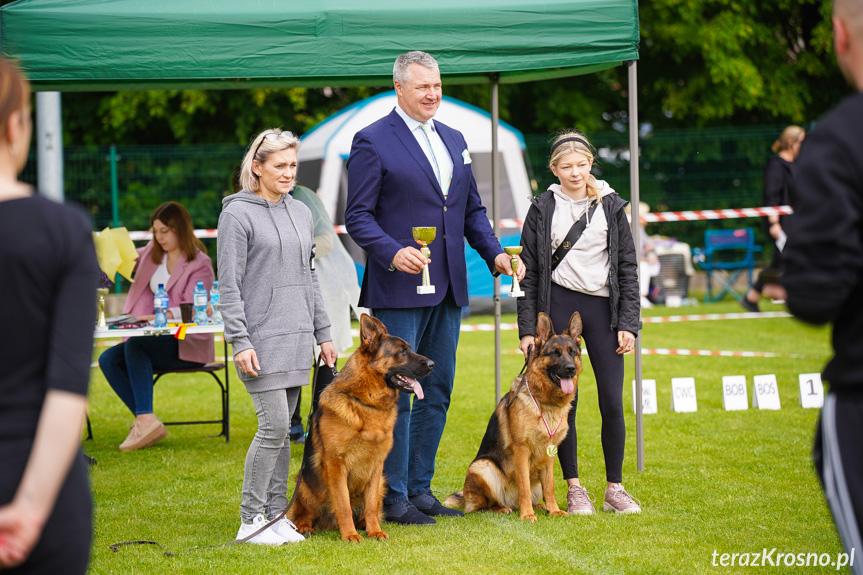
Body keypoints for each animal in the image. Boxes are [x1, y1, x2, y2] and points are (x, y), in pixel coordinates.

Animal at [290, 312, 436, 544]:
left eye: (409, 348)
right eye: (402, 351)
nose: (433, 364)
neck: (367, 402)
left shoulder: (377, 467)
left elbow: (370, 507)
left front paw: (374, 530)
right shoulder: (336, 465)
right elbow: (343, 505)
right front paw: (350, 535)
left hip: (382, 482)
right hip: (304, 486)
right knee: (301, 515)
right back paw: (306, 528)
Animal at [446, 312, 580, 524]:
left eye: (572, 352)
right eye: (555, 353)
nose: (570, 368)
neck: (545, 403)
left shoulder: (550, 454)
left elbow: (550, 487)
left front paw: (554, 509)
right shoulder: (521, 451)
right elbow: (523, 486)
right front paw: (527, 515)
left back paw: (539, 506)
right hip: (483, 467)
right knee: (479, 507)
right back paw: (503, 509)